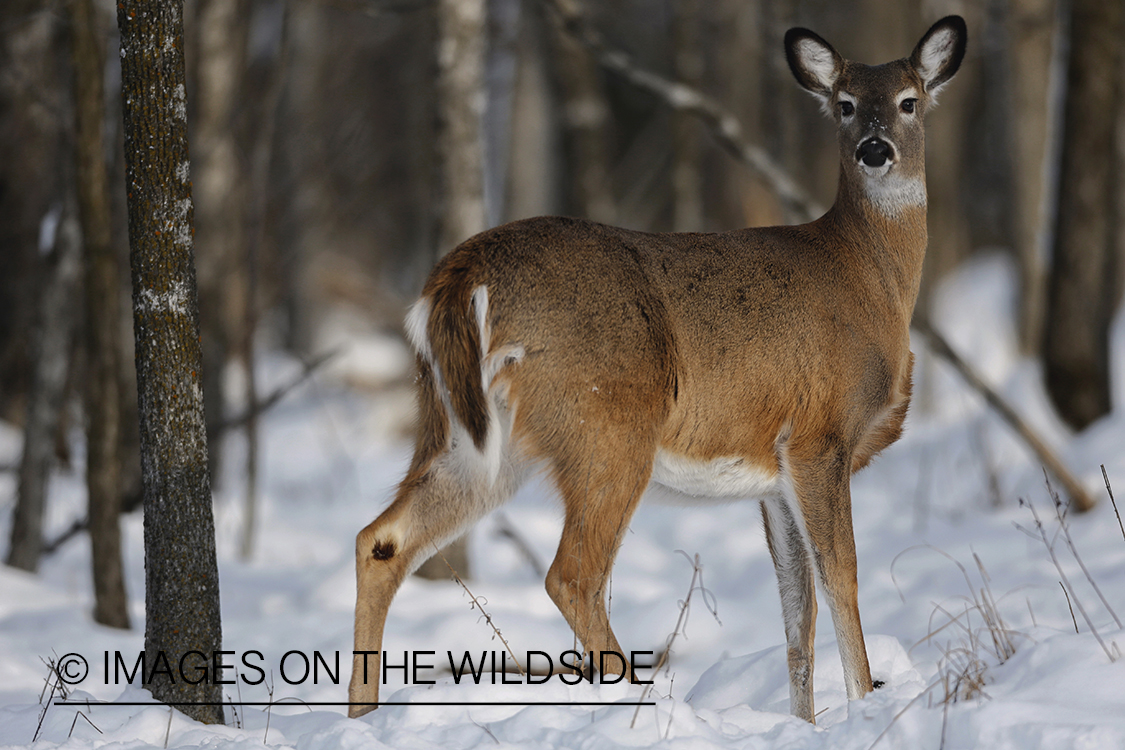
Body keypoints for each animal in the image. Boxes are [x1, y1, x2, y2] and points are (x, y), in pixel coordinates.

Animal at [348, 16, 967, 719]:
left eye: (909, 101)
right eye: (844, 104)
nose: (874, 149)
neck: (870, 278)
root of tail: (461, 273)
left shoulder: (775, 471)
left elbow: (797, 609)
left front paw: (804, 722)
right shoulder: (821, 434)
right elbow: (843, 578)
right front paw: (865, 701)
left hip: (470, 430)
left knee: (382, 539)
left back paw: (361, 717)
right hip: (607, 420)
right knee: (573, 575)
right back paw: (644, 702)